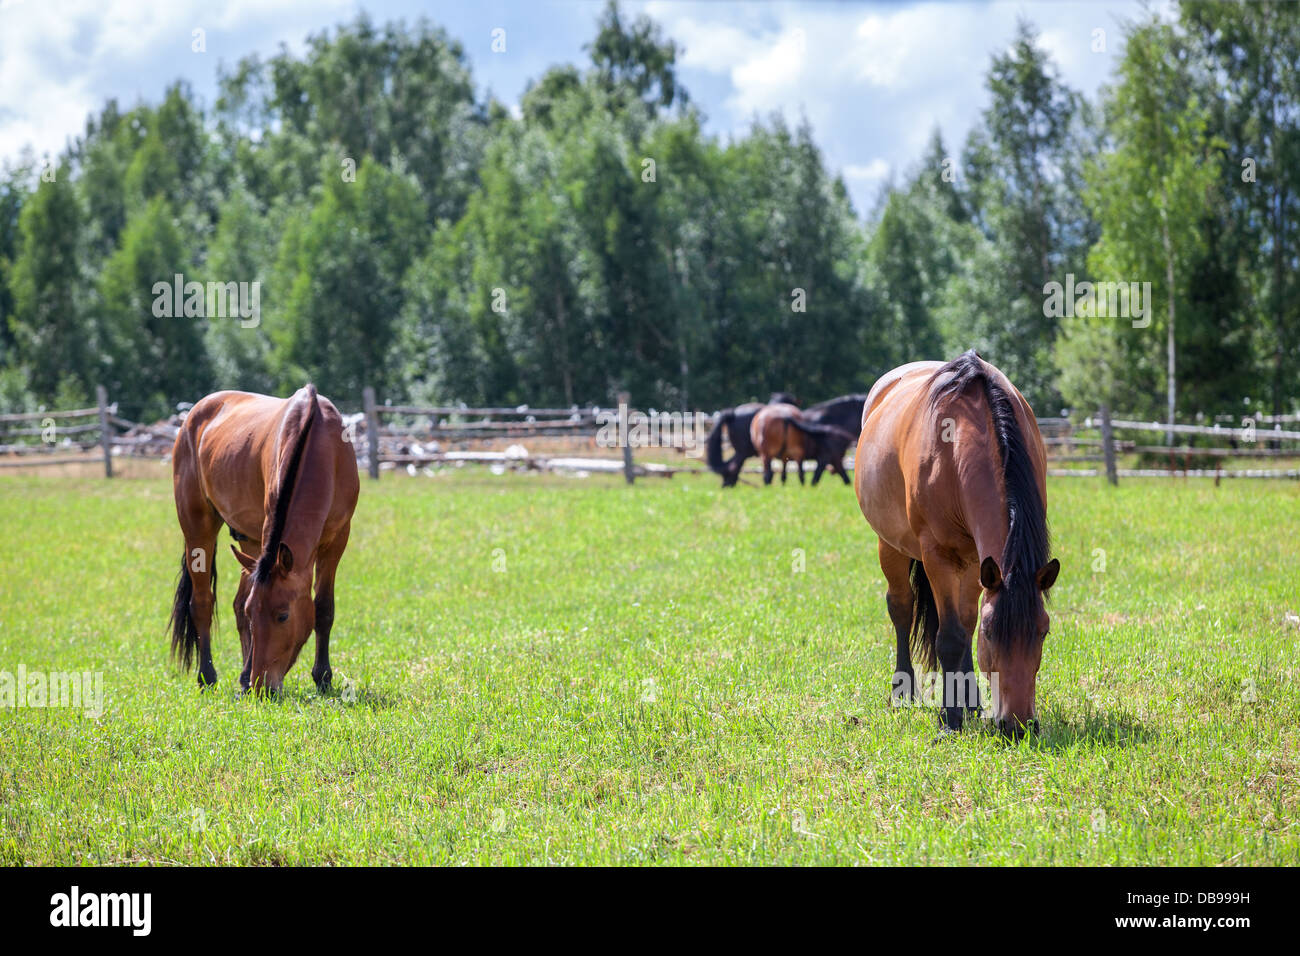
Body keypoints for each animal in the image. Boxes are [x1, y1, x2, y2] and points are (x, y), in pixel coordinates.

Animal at [168, 384, 360, 695]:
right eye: (255, 614)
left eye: (282, 615)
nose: (262, 686)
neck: (322, 446)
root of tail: (192, 417)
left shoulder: (337, 539)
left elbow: (323, 608)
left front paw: (323, 677)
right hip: (198, 527)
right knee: (202, 602)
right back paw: (209, 676)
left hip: (249, 543)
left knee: (235, 602)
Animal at [853, 351, 1059, 736]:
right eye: (992, 634)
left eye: (1043, 631)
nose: (1018, 725)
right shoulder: (938, 555)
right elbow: (950, 636)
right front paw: (949, 720)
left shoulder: (978, 561)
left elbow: (964, 627)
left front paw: (966, 703)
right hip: (891, 546)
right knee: (901, 607)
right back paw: (904, 691)